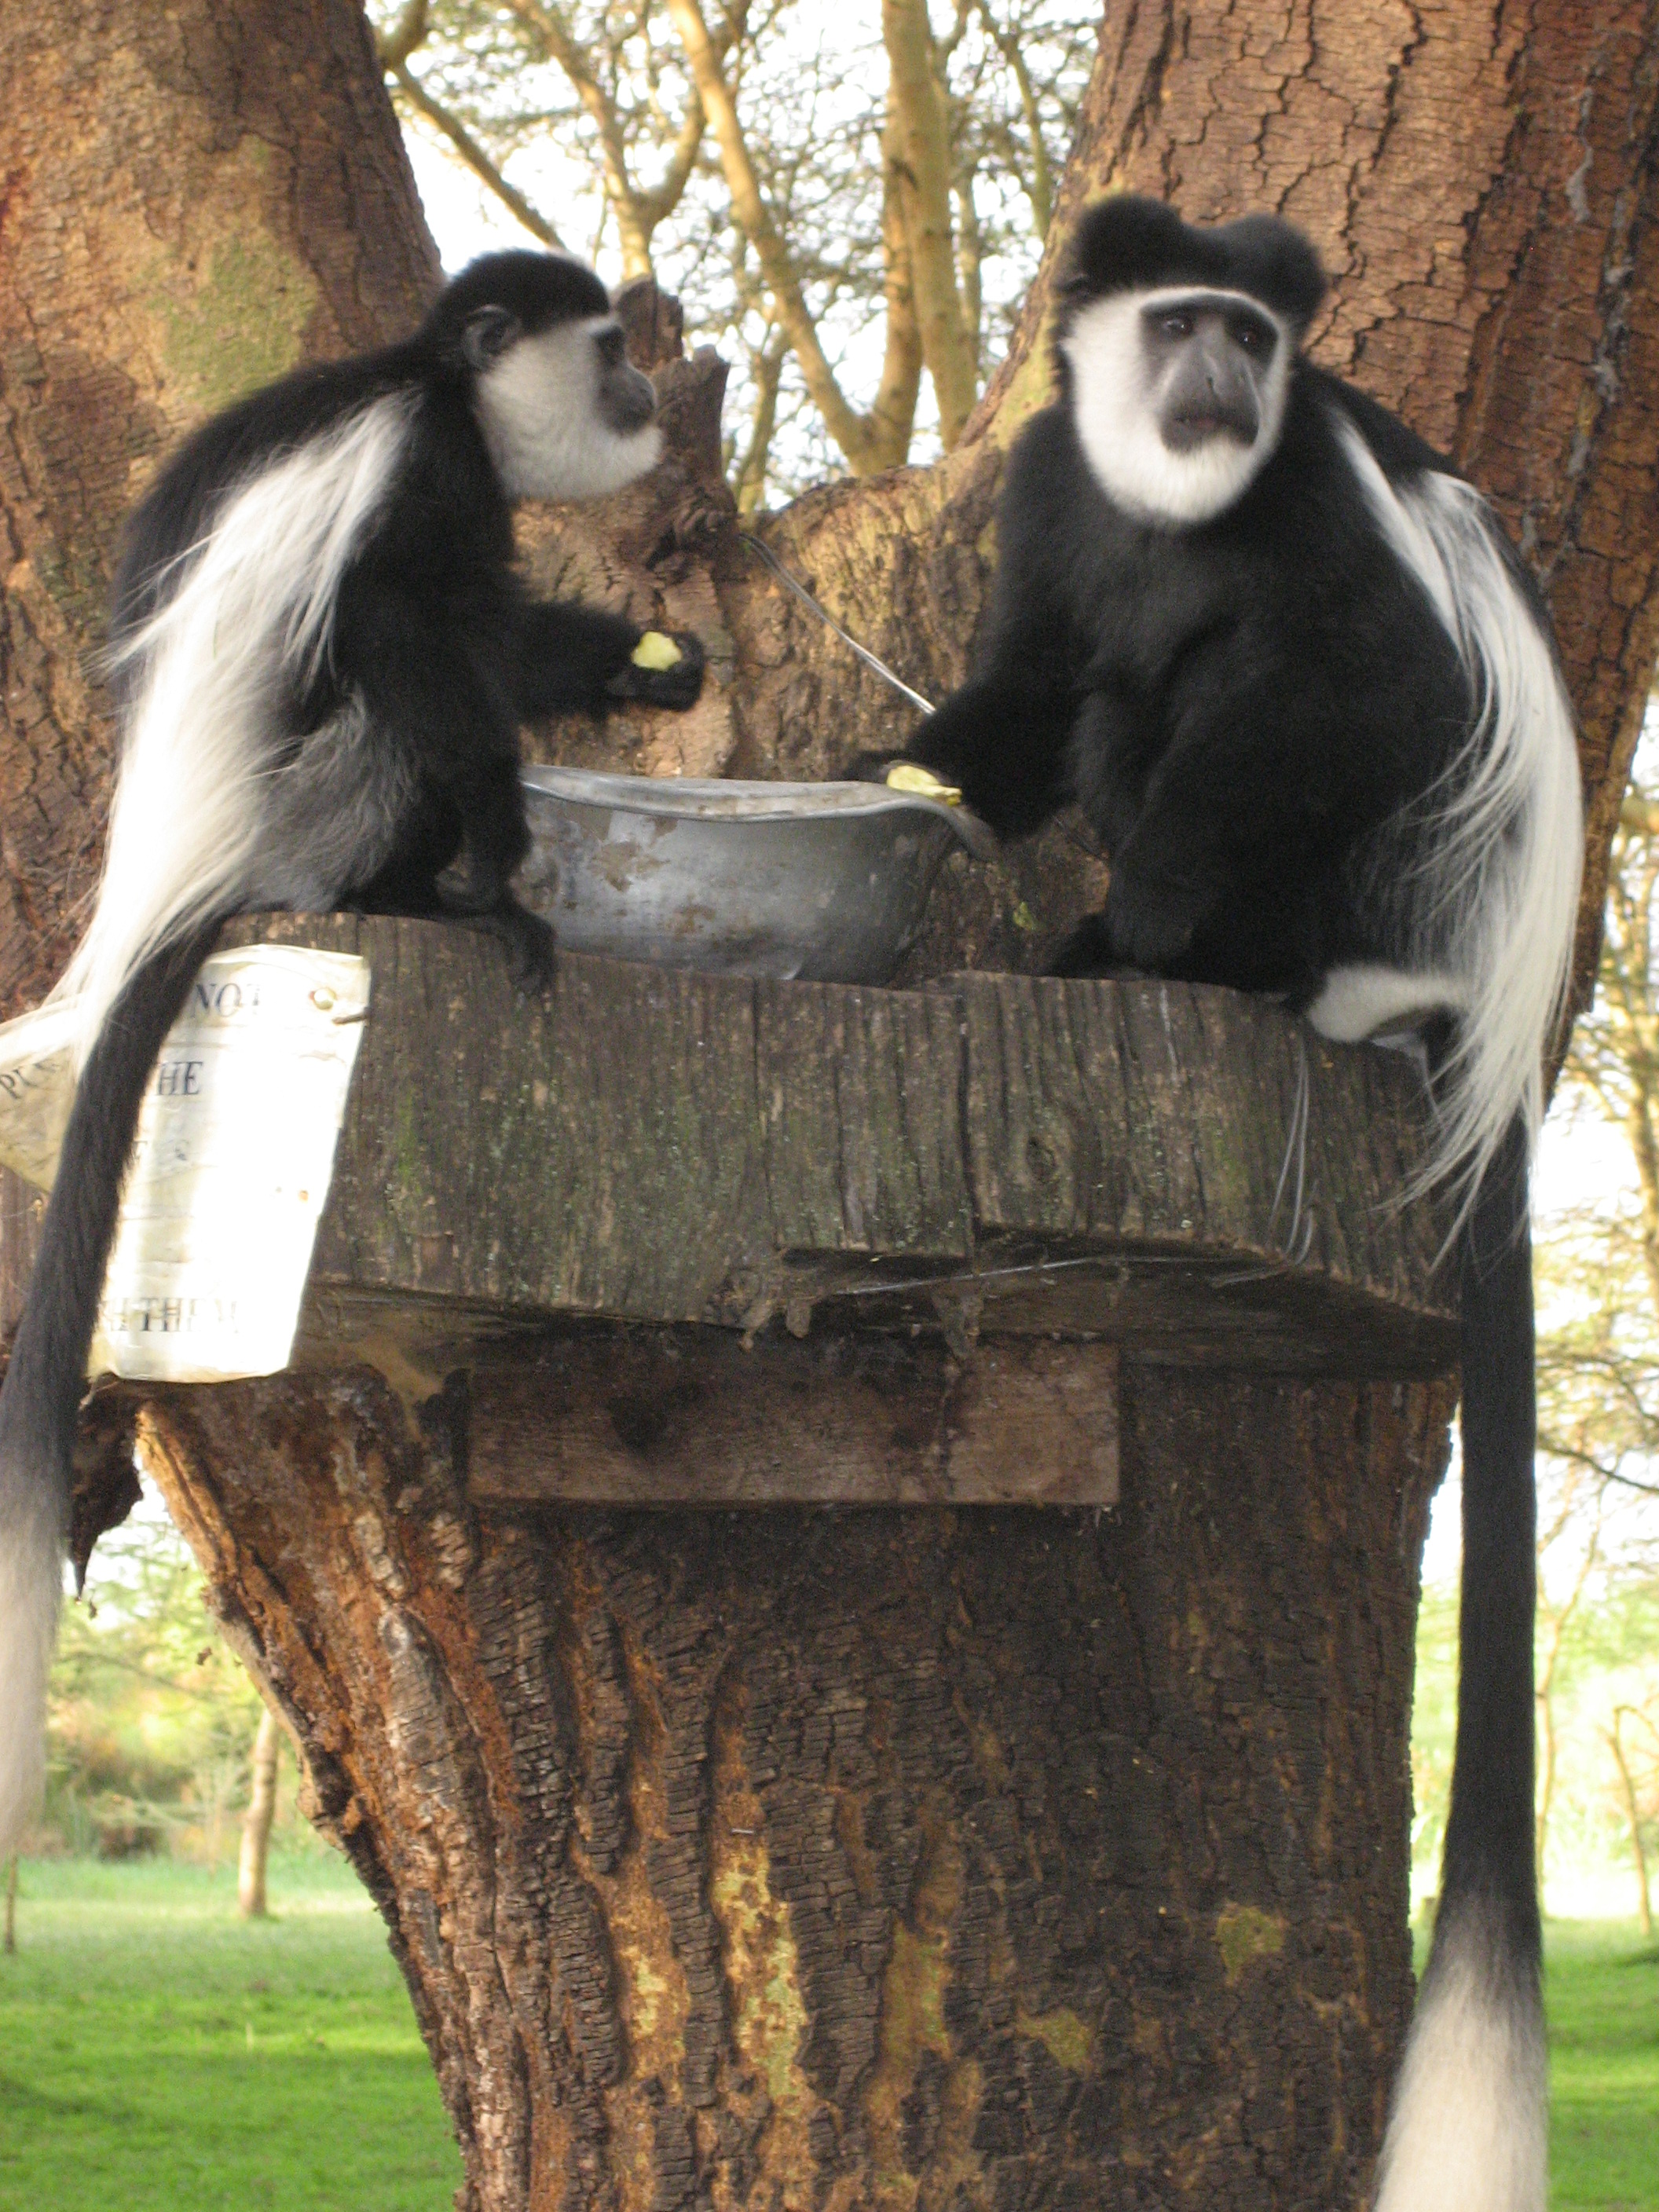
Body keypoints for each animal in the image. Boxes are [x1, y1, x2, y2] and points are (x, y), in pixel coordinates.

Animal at [0, 251, 708, 1858]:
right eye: (605, 349)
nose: (645, 389)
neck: (435, 382)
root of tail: (190, 885)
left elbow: (497, 628)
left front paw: (651, 666)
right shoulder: (424, 471)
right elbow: (410, 628)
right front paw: (504, 857)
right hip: (310, 804)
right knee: (394, 694)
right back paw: (430, 897)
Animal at [889, 194, 1592, 2212]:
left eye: (1249, 338)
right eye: (1175, 325)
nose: (1218, 370)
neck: (1171, 495)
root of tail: (1479, 1012)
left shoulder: (1311, 513)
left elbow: (1382, 686)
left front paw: (1154, 894)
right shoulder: (1050, 492)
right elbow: (1030, 680)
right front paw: (918, 773)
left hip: (1395, 879)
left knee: (1232, 704)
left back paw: (1199, 956)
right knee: (1113, 686)